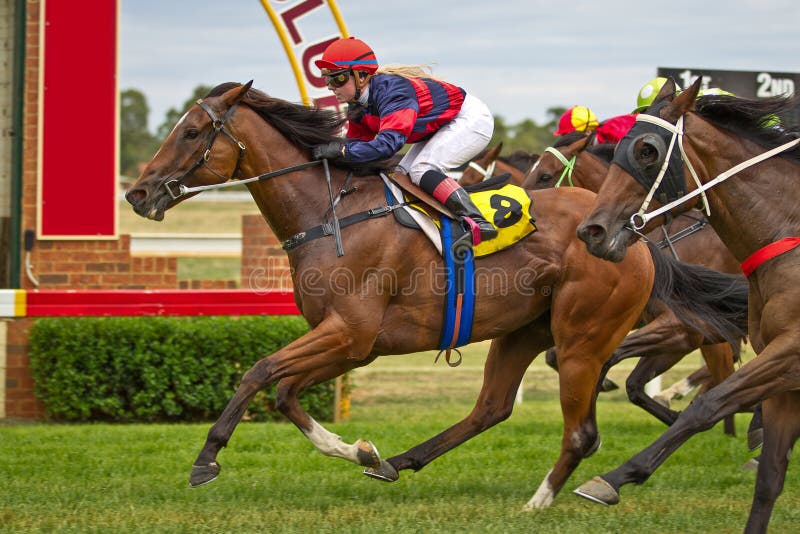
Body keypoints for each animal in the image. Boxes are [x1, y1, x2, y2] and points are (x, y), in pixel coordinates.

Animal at [576, 76, 800, 534]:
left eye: (647, 150)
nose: (592, 231)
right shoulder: (781, 372)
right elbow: (770, 477)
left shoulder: (783, 349)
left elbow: (709, 404)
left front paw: (613, 477)